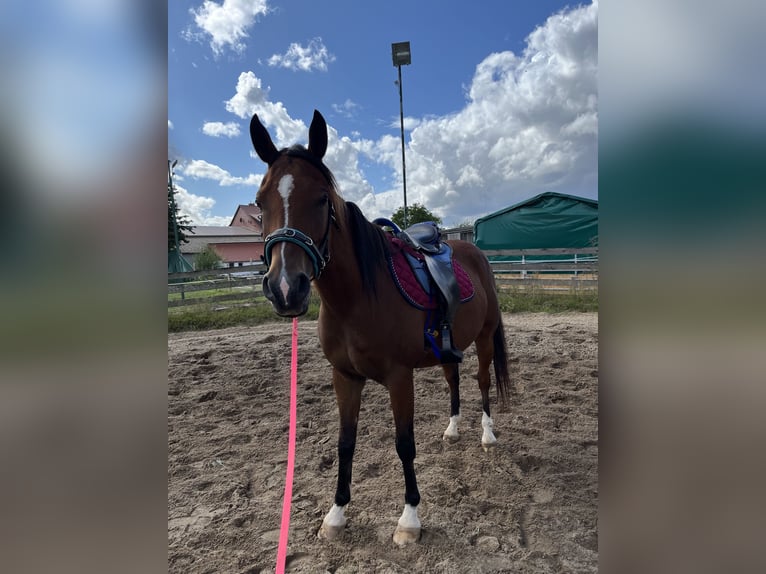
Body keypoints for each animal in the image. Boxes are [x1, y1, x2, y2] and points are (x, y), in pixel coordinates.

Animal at [250, 110, 512, 546]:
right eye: (259, 201)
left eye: (322, 198)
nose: (286, 288)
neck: (355, 299)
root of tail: (471, 249)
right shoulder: (345, 377)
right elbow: (345, 443)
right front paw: (336, 514)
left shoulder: (399, 377)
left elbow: (404, 444)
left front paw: (410, 519)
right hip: (449, 347)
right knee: (454, 381)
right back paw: (453, 429)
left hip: (485, 338)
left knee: (482, 380)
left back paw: (487, 435)